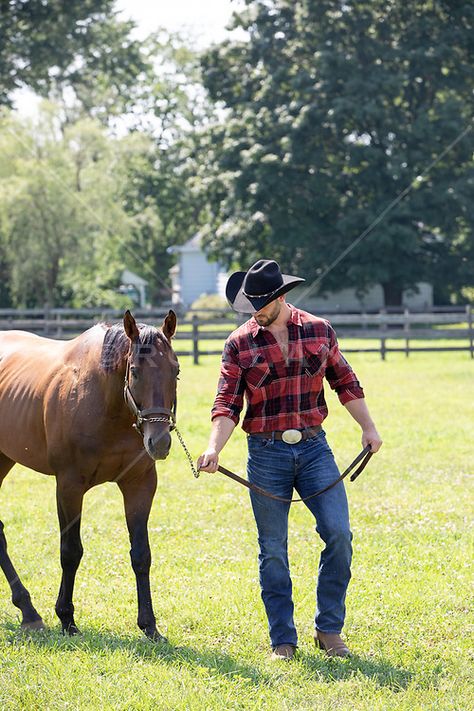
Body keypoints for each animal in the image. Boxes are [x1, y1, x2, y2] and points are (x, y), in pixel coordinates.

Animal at [0, 310, 178, 640]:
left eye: (175, 370)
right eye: (135, 372)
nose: (159, 442)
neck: (107, 404)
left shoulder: (139, 485)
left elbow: (141, 554)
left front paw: (149, 625)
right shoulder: (69, 487)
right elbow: (71, 551)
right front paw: (67, 618)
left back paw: (28, 610)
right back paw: (30, 611)